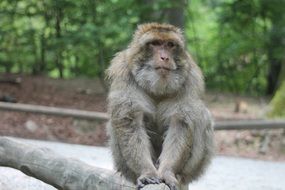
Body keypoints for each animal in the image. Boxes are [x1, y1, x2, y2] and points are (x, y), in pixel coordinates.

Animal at [106, 23, 213, 189]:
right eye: (155, 43)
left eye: (170, 45)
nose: (165, 57)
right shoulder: (124, 73)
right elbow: (129, 122)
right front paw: (147, 172)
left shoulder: (190, 78)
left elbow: (180, 124)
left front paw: (167, 173)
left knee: (203, 117)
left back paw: (178, 175)